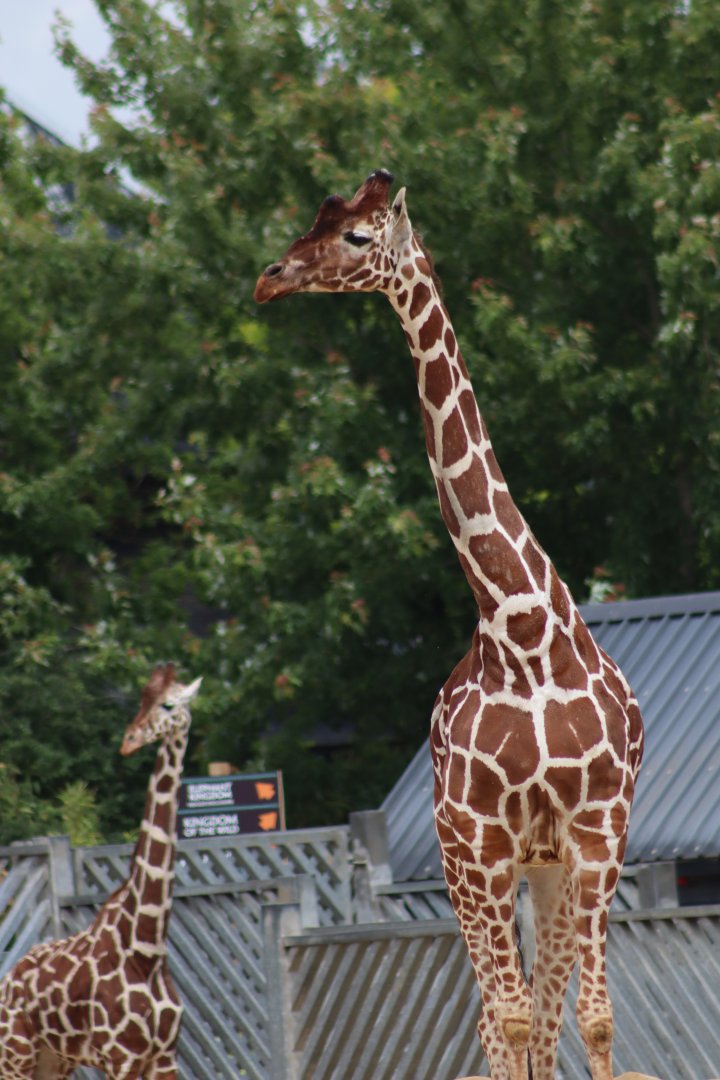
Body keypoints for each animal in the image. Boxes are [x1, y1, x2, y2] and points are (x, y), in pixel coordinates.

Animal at [0, 663, 201, 1079]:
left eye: (167, 704)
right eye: (140, 700)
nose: (129, 741)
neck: (146, 948)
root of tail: (6, 983)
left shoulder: (164, 1058)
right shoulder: (121, 1056)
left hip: (53, 1062)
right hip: (15, 1056)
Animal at [253, 170, 644, 1080]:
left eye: (358, 237)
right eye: (319, 221)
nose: (271, 277)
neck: (524, 627)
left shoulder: (598, 829)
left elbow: (594, 1019)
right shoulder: (479, 838)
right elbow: (508, 1020)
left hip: (548, 869)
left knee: (543, 1012)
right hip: (472, 861)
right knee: (498, 1016)